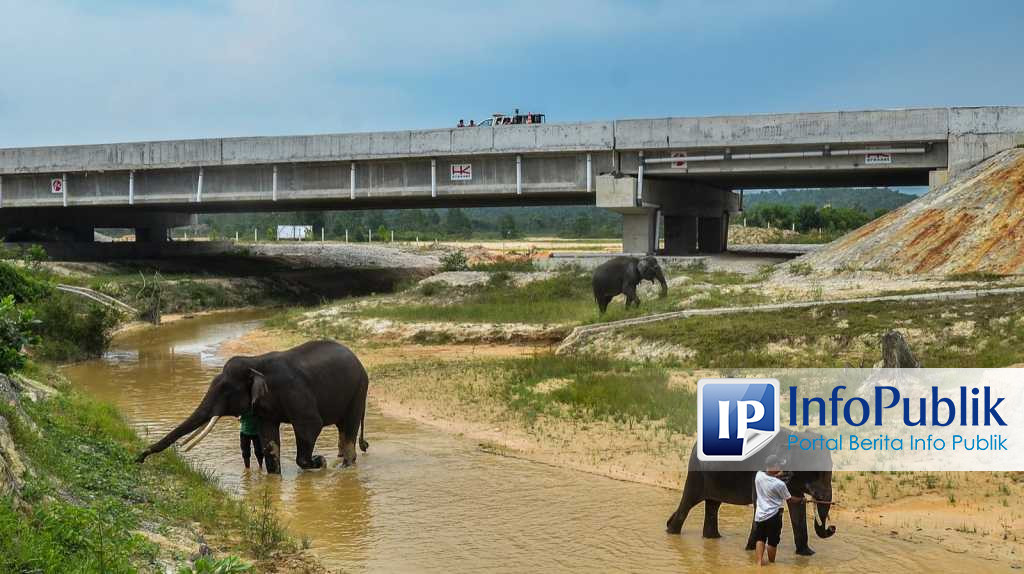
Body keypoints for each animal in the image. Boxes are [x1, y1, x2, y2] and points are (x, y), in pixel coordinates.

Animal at [135, 337, 368, 472]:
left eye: (226, 391)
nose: (138, 458)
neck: (255, 362)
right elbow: (268, 438)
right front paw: (274, 477)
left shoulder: (296, 392)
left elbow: (310, 425)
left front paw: (320, 462)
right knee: (343, 428)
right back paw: (341, 460)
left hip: (358, 389)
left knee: (349, 426)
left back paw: (345, 467)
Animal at [663, 429, 839, 556]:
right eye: (815, 472)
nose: (832, 528)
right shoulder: (758, 473)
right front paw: (750, 552)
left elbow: (797, 506)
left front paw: (808, 555)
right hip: (697, 472)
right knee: (688, 502)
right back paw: (671, 532)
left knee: (713, 505)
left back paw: (711, 538)